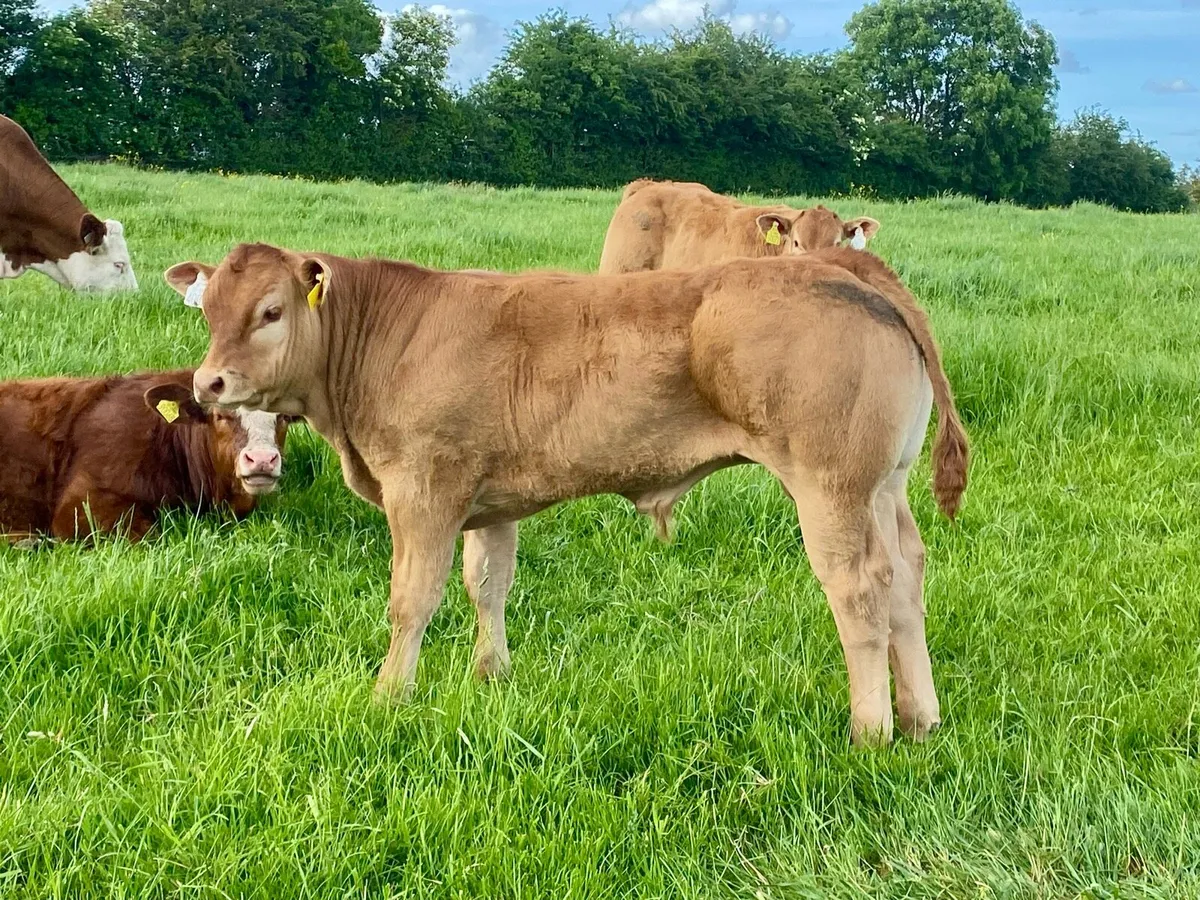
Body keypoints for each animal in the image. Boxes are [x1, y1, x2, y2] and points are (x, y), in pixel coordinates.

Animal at [171, 243, 968, 747]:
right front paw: (490, 677)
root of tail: (842, 266)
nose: (209, 382)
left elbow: (413, 599)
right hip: (883, 488)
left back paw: (871, 731)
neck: (385, 337)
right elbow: (487, 584)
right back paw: (920, 718)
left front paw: (390, 695)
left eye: (272, 311)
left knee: (859, 590)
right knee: (906, 578)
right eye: (207, 310)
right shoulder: (484, 501)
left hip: (831, 486)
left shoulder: (424, 490)